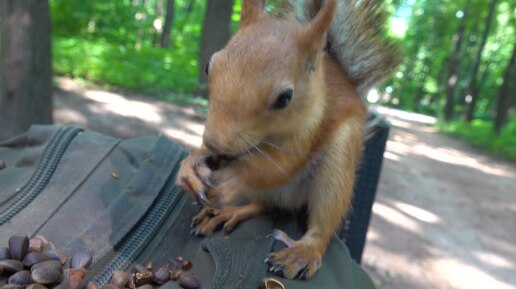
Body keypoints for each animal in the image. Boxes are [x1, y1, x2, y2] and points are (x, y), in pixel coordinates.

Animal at [175, 0, 398, 280]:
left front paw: (233, 177)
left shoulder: (307, 135)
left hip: (337, 168)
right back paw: (229, 211)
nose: (216, 144)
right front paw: (192, 164)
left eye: (284, 98)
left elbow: (277, 166)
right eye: (209, 67)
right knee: (263, 205)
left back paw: (301, 252)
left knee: (322, 223)